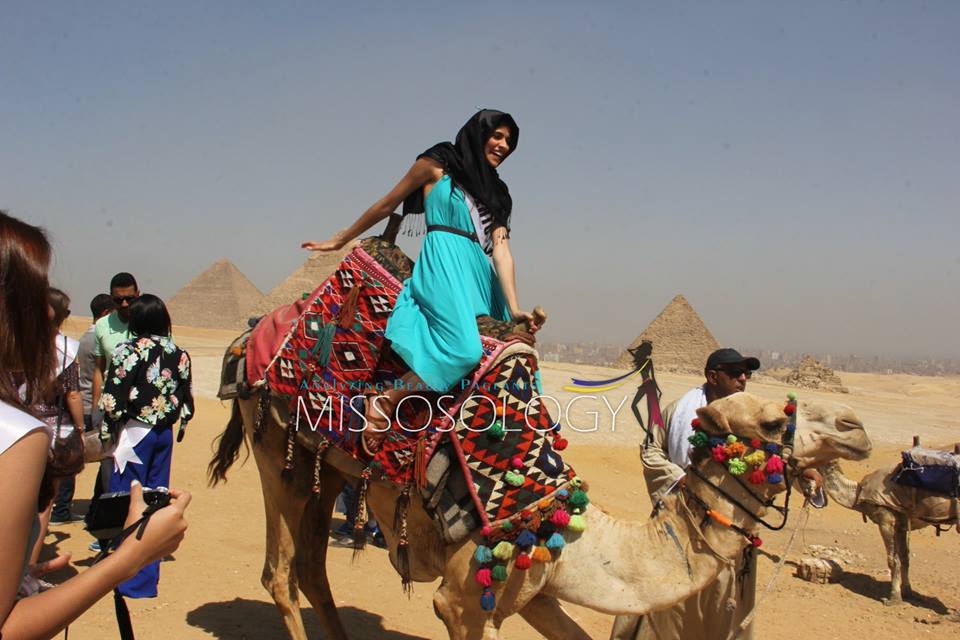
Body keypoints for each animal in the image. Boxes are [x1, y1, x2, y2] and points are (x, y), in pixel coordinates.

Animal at [816, 458, 960, 604]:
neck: (858, 493)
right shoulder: (901, 523)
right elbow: (904, 558)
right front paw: (907, 593)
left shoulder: (885, 519)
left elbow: (892, 560)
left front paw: (893, 598)